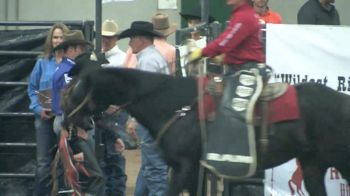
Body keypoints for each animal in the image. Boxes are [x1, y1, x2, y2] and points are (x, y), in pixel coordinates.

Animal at [62, 66, 350, 195]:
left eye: (76, 89)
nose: (65, 121)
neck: (174, 105)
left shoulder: (184, 167)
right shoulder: (191, 172)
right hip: (313, 165)